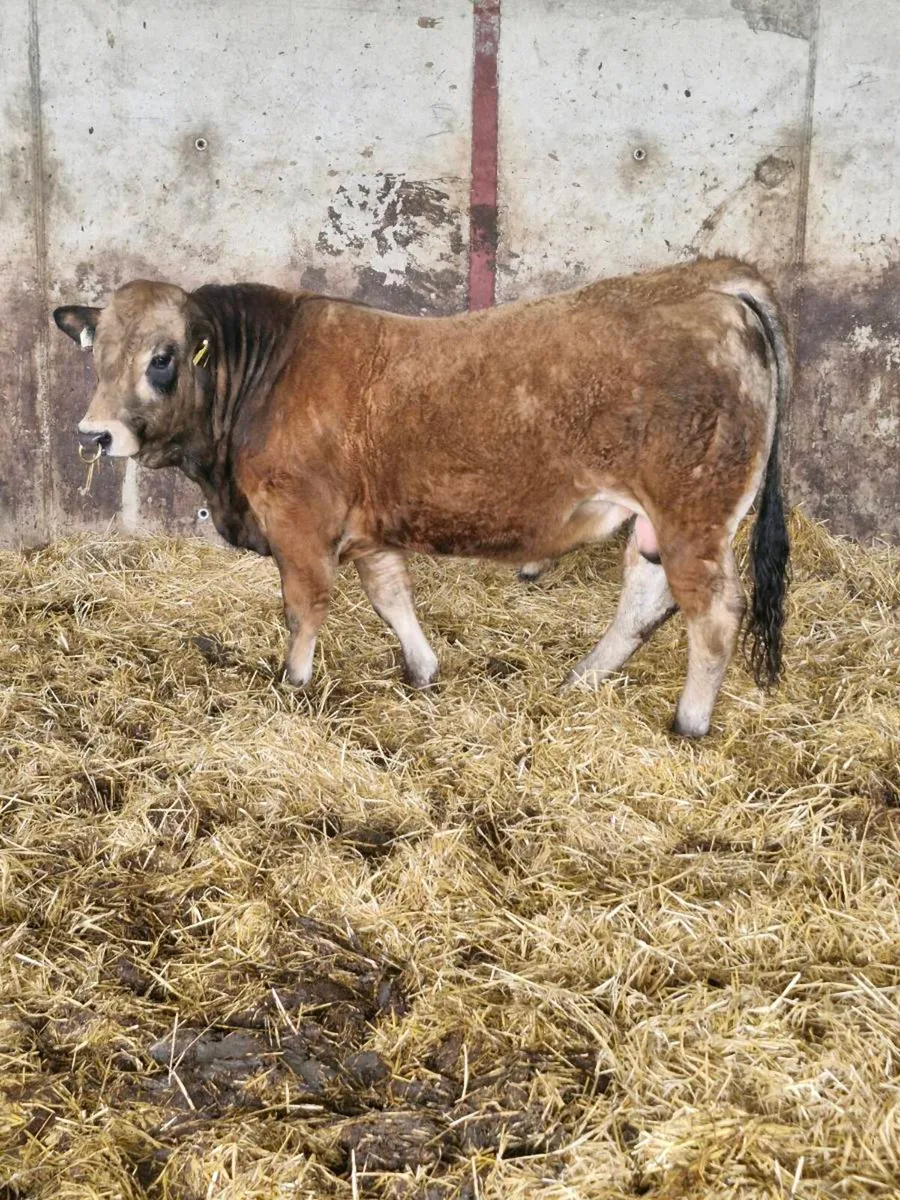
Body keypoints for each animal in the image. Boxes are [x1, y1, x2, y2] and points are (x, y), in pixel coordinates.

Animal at [53, 256, 790, 737]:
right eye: (97, 353)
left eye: (163, 357)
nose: (95, 433)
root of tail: (708, 283)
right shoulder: (368, 526)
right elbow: (391, 596)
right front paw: (424, 668)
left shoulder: (299, 520)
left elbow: (304, 607)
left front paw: (294, 684)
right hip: (657, 520)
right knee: (646, 594)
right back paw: (581, 678)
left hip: (693, 511)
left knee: (714, 610)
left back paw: (690, 721)